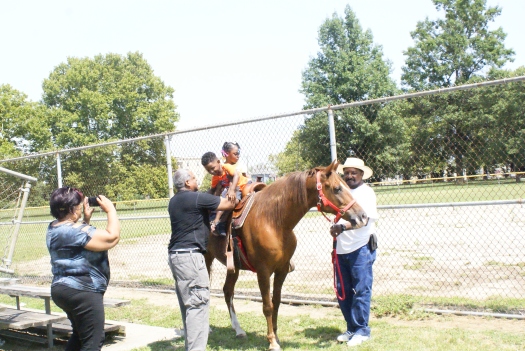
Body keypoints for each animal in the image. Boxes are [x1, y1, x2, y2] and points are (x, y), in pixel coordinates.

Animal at [203, 161, 366, 350]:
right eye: (337, 188)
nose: (362, 216)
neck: (273, 220)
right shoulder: (263, 271)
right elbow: (267, 305)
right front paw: (272, 341)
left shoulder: (281, 270)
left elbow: (277, 302)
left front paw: (276, 336)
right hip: (205, 260)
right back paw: (207, 329)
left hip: (233, 267)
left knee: (228, 291)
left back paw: (238, 330)